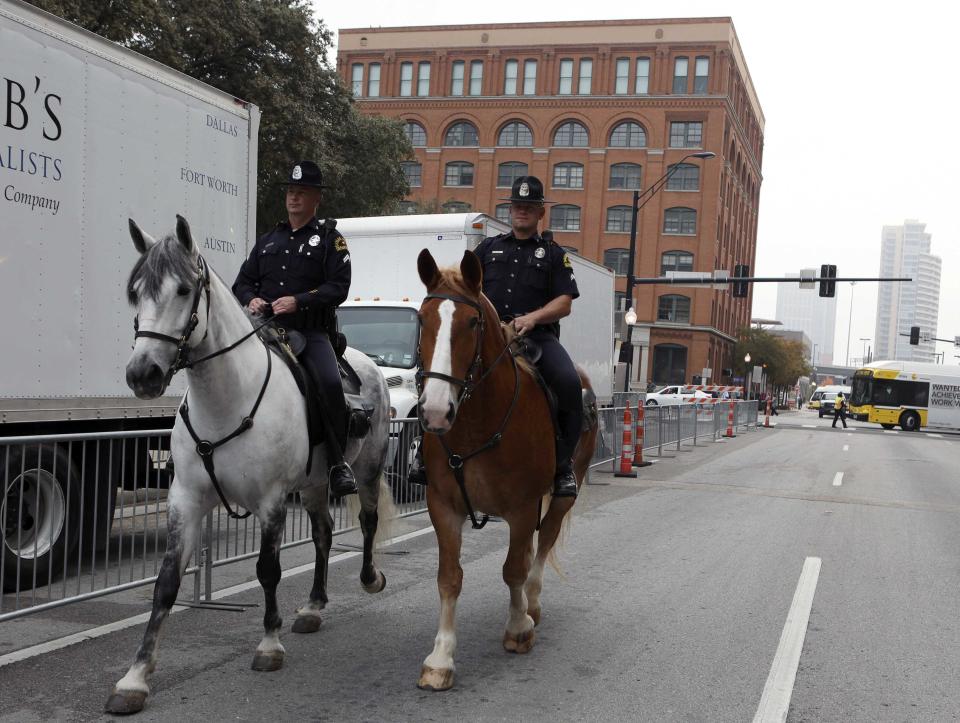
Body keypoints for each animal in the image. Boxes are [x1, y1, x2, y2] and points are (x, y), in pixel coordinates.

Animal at [110, 215, 396, 712]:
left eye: (183, 290)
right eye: (136, 292)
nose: (142, 374)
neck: (226, 400)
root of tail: (371, 364)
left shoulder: (271, 501)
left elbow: (268, 570)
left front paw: (269, 644)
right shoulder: (186, 501)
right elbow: (166, 583)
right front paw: (135, 677)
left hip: (366, 470)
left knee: (366, 521)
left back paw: (369, 578)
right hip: (315, 484)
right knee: (323, 535)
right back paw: (313, 606)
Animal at [414, 249, 596, 692]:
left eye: (472, 322)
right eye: (423, 319)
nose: (434, 410)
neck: (477, 423)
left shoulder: (522, 507)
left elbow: (513, 569)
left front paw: (518, 628)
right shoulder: (443, 507)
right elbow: (449, 577)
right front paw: (441, 658)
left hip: (565, 492)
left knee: (542, 544)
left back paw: (532, 604)